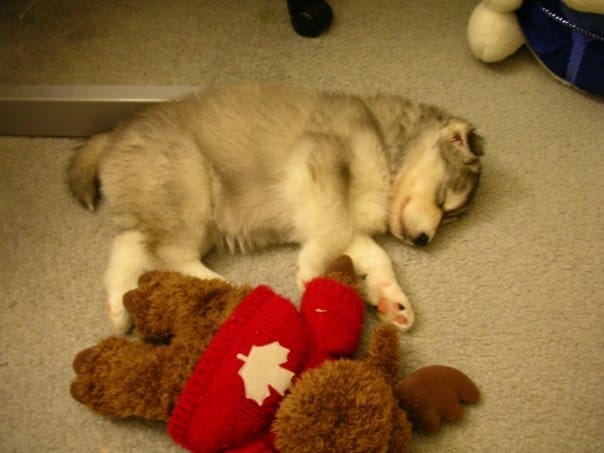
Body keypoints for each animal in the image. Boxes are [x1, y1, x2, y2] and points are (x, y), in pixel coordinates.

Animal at [69, 85, 486, 332]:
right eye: (445, 200)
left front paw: (390, 299)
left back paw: (118, 309)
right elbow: (334, 234)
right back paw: (222, 284)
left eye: (451, 216)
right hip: (189, 184)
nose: (424, 240)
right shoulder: (322, 160)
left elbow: (374, 254)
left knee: (129, 246)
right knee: (171, 254)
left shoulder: (343, 223)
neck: (386, 148)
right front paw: (311, 275)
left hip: (166, 209)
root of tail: (112, 136)